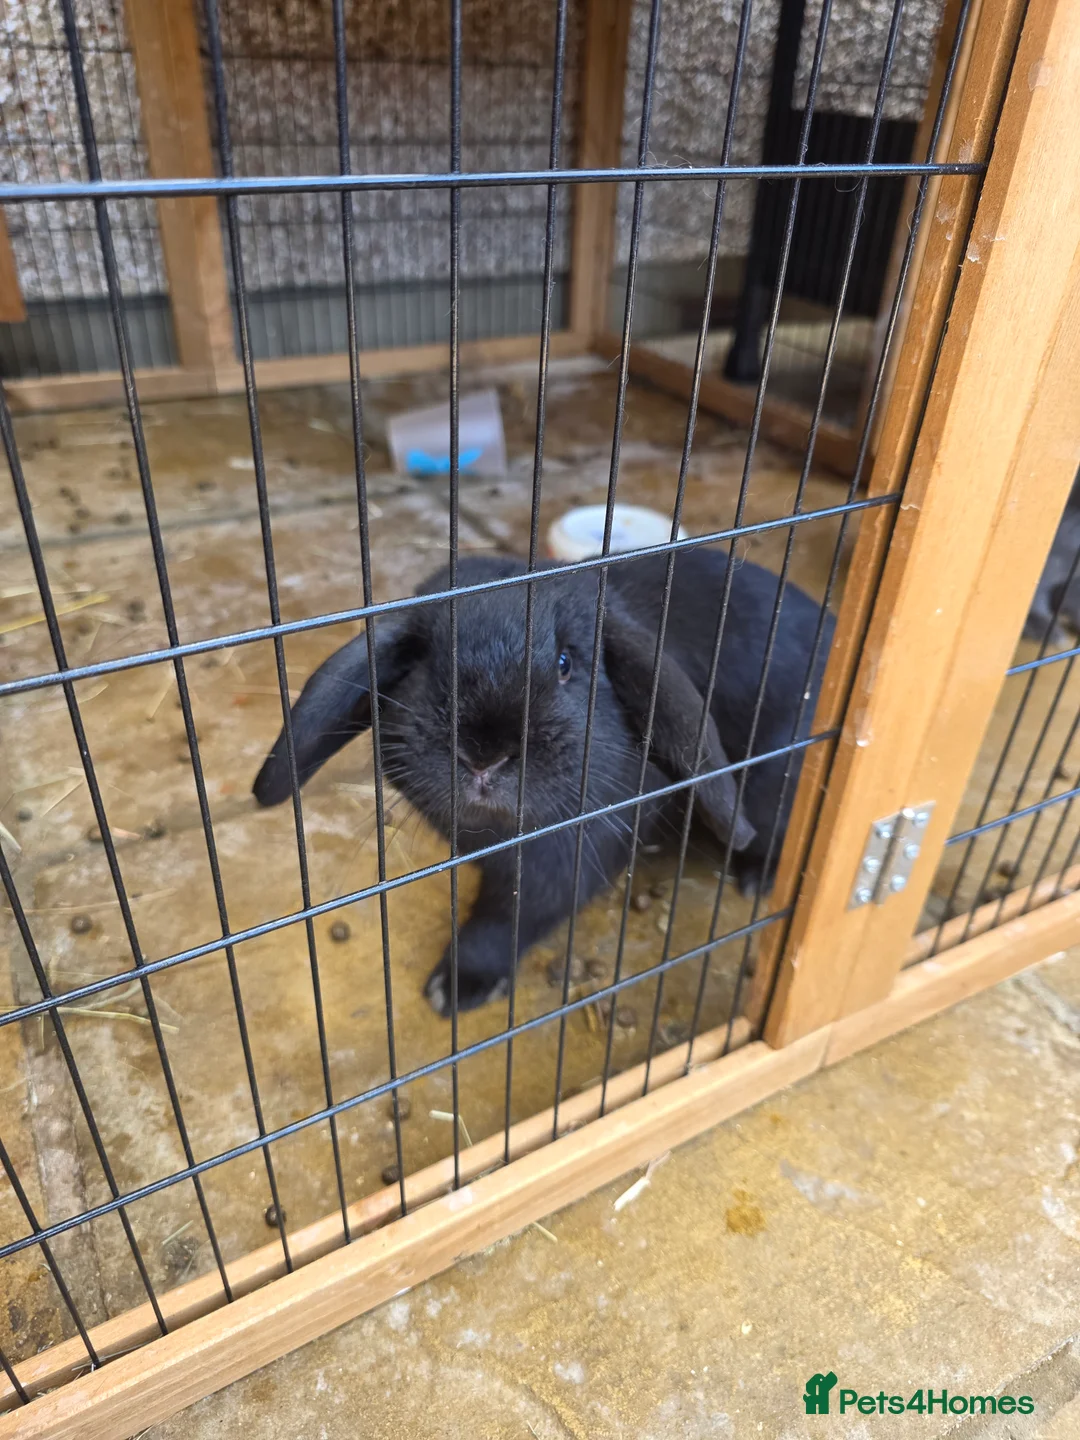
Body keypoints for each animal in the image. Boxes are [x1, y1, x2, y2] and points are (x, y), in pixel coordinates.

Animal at [253, 548, 832, 1015]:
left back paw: (758, 877)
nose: (484, 756)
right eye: (422, 662)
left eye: (565, 663)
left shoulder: (562, 863)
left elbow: (506, 921)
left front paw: (457, 989)